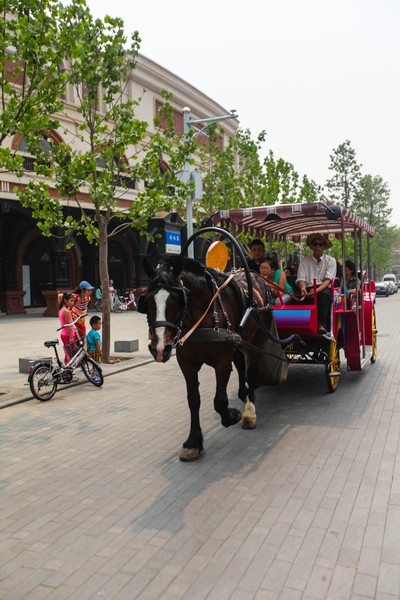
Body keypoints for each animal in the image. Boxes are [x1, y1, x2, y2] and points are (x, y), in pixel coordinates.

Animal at [138, 255, 288, 462]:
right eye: (147, 301)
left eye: (177, 300)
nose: (160, 348)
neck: (202, 318)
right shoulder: (186, 363)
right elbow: (193, 400)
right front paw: (193, 443)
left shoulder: (222, 361)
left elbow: (220, 400)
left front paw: (232, 415)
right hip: (238, 341)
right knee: (240, 364)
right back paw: (243, 393)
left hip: (257, 337)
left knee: (252, 370)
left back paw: (249, 410)